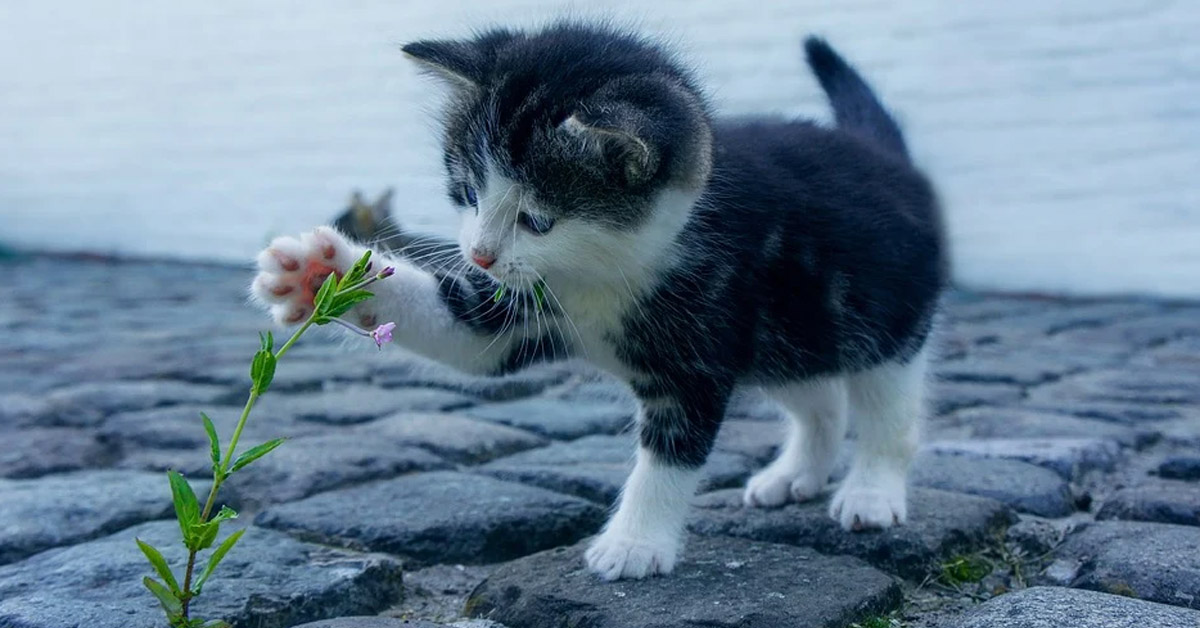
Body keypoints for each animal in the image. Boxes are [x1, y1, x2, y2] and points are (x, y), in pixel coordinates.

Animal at [253, 25, 945, 585]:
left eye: (537, 219)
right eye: (469, 192)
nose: (478, 255)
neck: (603, 271)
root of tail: (887, 157)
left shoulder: (700, 346)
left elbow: (671, 452)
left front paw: (634, 544)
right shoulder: (521, 306)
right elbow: (465, 334)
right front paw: (321, 273)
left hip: (884, 319)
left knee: (887, 410)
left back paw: (871, 492)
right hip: (789, 332)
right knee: (819, 397)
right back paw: (795, 474)